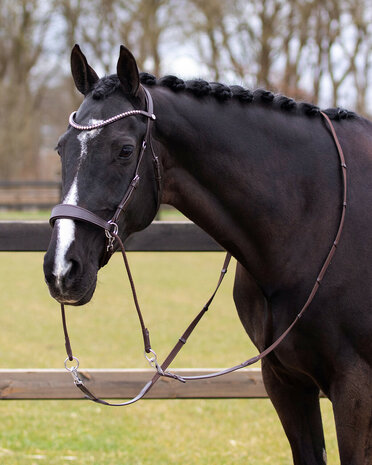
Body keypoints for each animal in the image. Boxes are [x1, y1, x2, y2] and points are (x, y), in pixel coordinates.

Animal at [44, 44, 372, 464]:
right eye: (61, 148)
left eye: (125, 150)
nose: (60, 268)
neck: (317, 219)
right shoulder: (286, 382)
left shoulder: (355, 390)